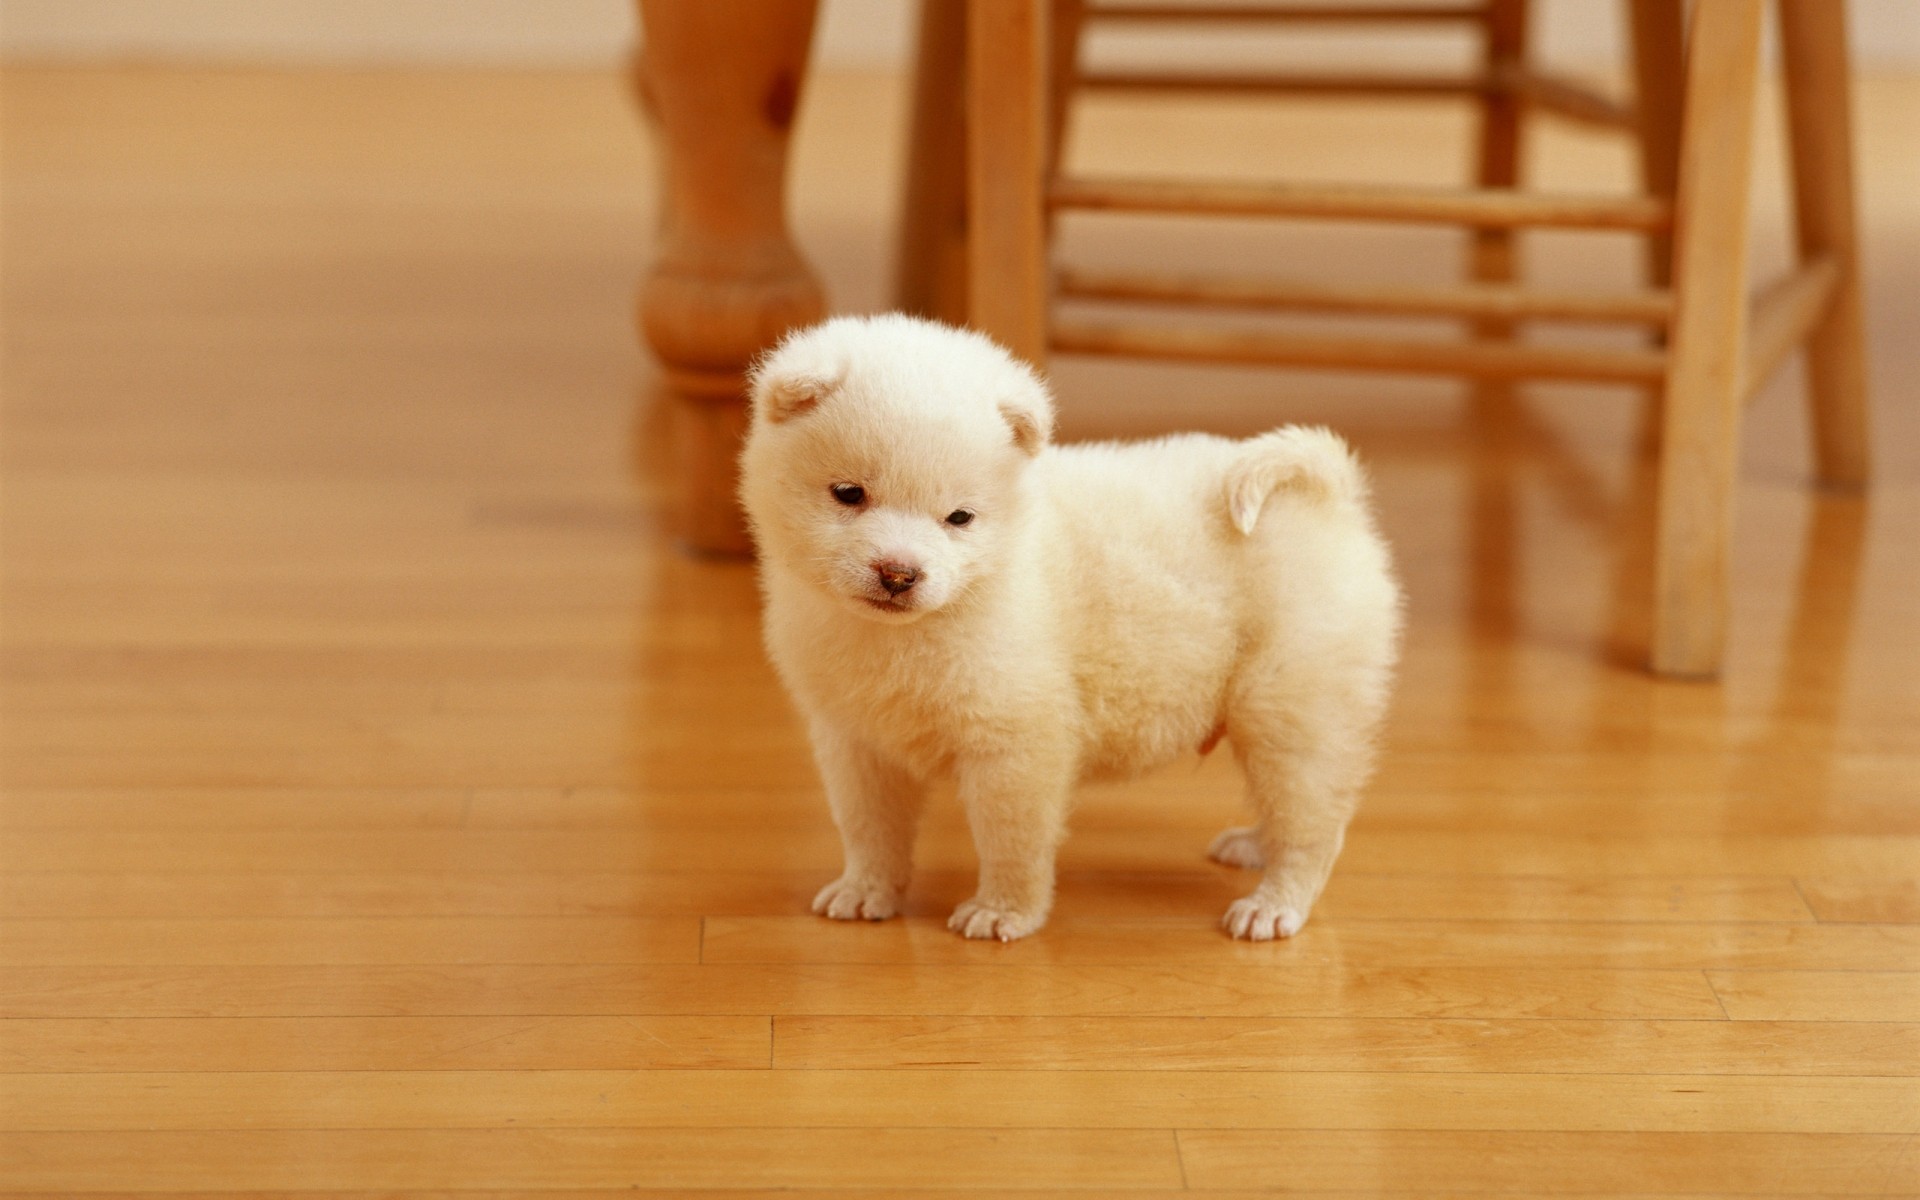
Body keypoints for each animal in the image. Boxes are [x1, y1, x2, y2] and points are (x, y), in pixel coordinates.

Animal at [741, 312, 1405, 940]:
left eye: (959, 518)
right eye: (848, 493)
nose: (899, 573)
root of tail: (1332, 498)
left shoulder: (1016, 744)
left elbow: (1011, 840)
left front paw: (1003, 912)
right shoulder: (856, 740)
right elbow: (869, 828)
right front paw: (866, 891)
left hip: (1291, 708)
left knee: (1312, 825)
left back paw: (1273, 904)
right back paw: (1252, 847)